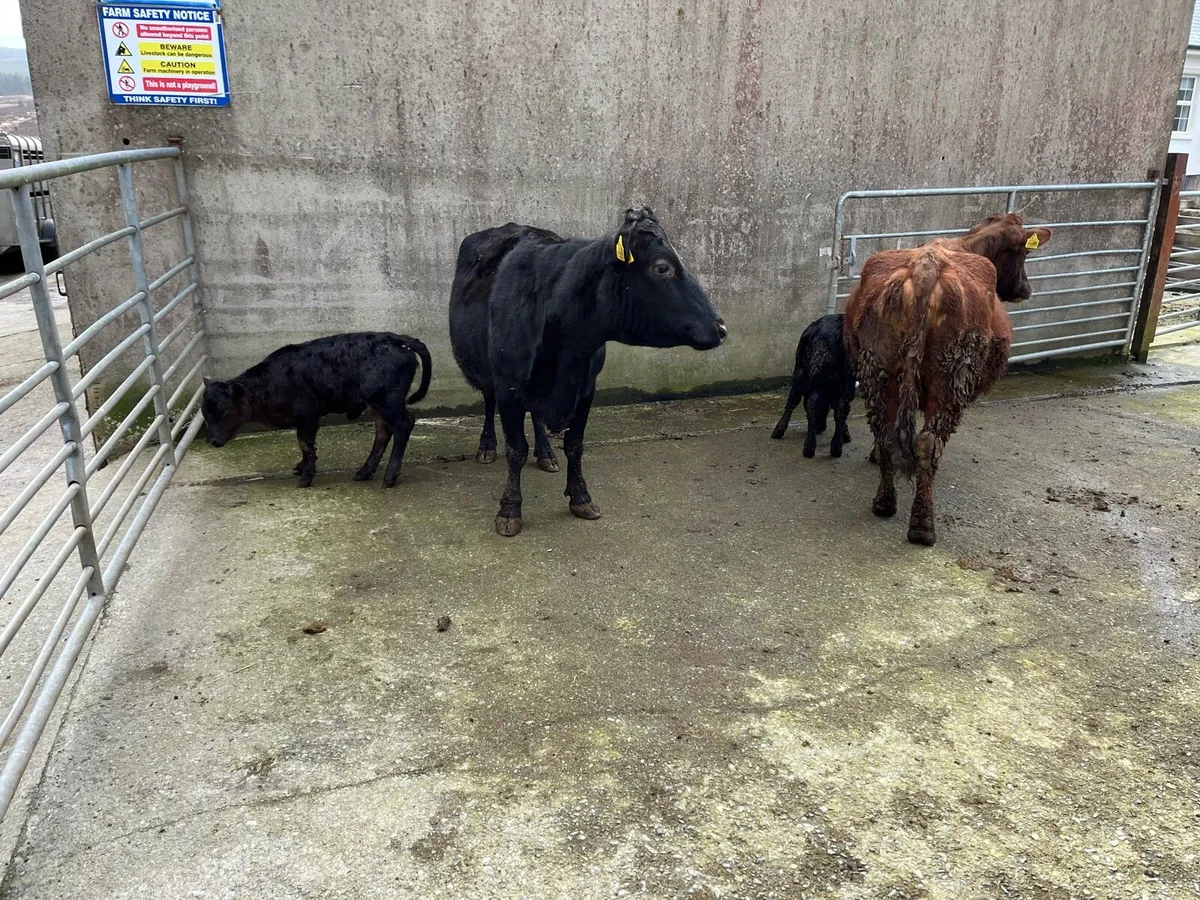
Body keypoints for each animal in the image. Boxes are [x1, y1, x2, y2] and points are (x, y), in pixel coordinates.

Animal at [201, 332, 431, 488]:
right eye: (205, 412)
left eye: (223, 410)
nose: (211, 441)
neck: (270, 382)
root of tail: (397, 339)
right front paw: (301, 467)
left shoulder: (307, 417)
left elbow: (305, 444)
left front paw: (306, 477)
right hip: (377, 403)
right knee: (383, 431)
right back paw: (364, 472)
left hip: (387, 401)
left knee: (403, 425)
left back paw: (389, 476)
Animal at [770, 313, 856, 458]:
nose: (820, 427)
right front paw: (845, 434)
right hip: (845, 380)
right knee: (840, 408)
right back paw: (835, 448)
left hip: (806, 374)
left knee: (811, 403)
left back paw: (809, 446)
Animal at [844, 214, 1051, 546]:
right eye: (1024, 254)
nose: (1026, 289)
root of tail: (927, 265)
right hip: (951, 378)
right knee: (928, 442)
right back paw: (922, 525)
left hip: (878, 370)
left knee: (887, 433)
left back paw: (885, 502)